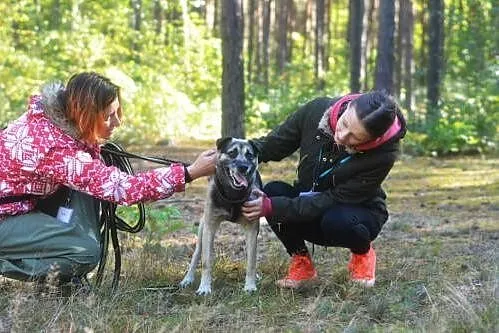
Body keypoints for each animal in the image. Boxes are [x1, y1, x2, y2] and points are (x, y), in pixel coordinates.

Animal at [182, 136, 264, 294]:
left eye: (249, 155)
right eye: (232, 153)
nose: (243, 167)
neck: (233, 195)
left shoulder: (252, 228)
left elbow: (251, 261)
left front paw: (250, 285)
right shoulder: (209, 227)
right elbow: (206, 262)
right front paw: (204, 287)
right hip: (202, 229)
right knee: (197, 253)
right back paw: (187, 279)